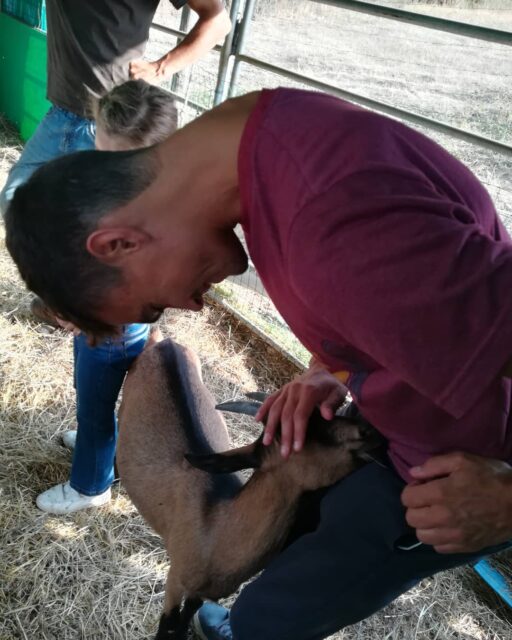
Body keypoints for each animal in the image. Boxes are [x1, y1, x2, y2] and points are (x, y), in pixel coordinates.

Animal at [117, 338, 382, 639]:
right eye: (301, 435)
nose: (369, 430)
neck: (218, 528)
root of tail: (167, 343)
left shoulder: (205, 592)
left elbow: (187, 616)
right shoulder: (175, 580)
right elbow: (168, 625)